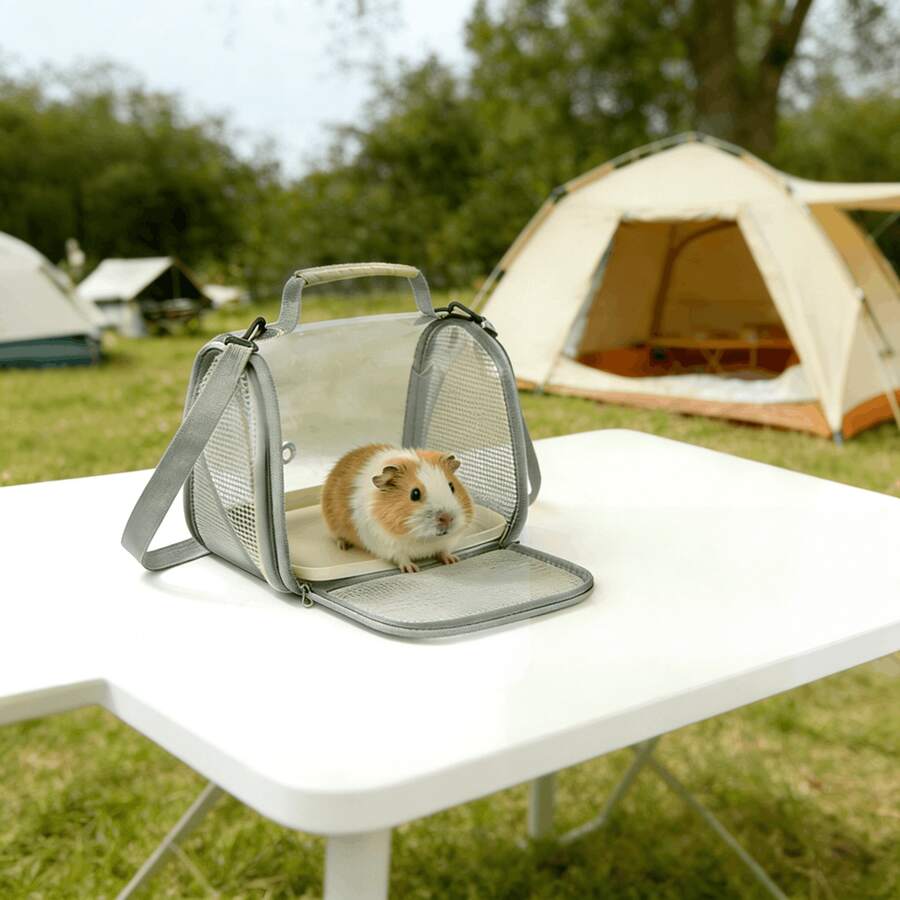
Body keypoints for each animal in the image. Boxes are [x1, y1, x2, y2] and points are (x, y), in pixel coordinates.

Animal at [321, 443, 475, 573]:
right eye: (415, 494)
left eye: (451, 486)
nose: (447, 518)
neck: (424, 539)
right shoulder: (390, 547)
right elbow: (402, 558)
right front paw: (412, 569)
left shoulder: (445, 543)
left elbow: (444, 551)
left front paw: (453, 560)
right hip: (333, 527)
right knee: (337, 537)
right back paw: (344, 547)